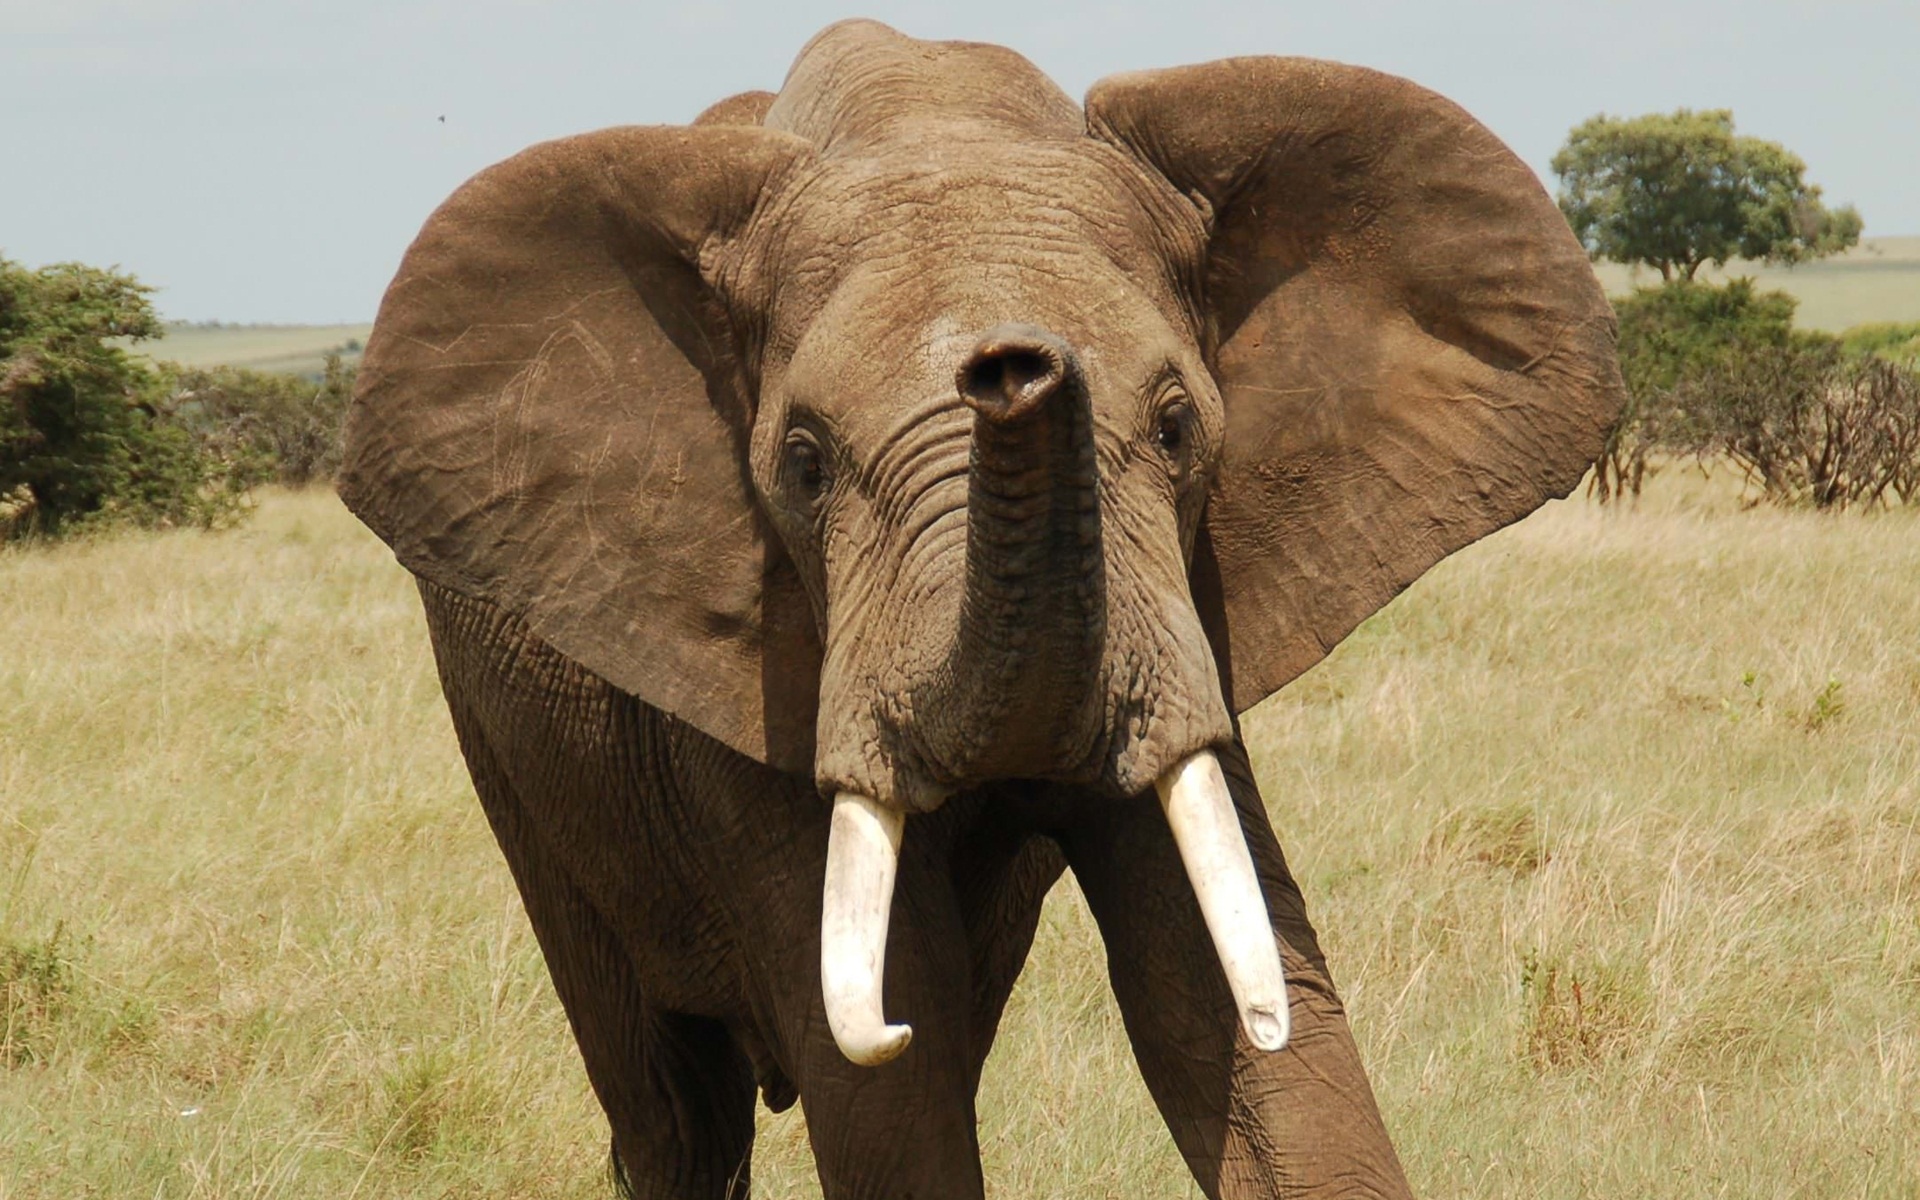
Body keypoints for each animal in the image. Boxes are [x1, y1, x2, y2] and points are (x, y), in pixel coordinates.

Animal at [334, 18, 1620, 1198]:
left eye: (1176, 426)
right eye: (802, 461)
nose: (1014, 368)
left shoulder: (1186, 607)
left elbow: (1226, 1003)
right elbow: (896, 1052)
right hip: (517, 768)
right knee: (671, 1107)